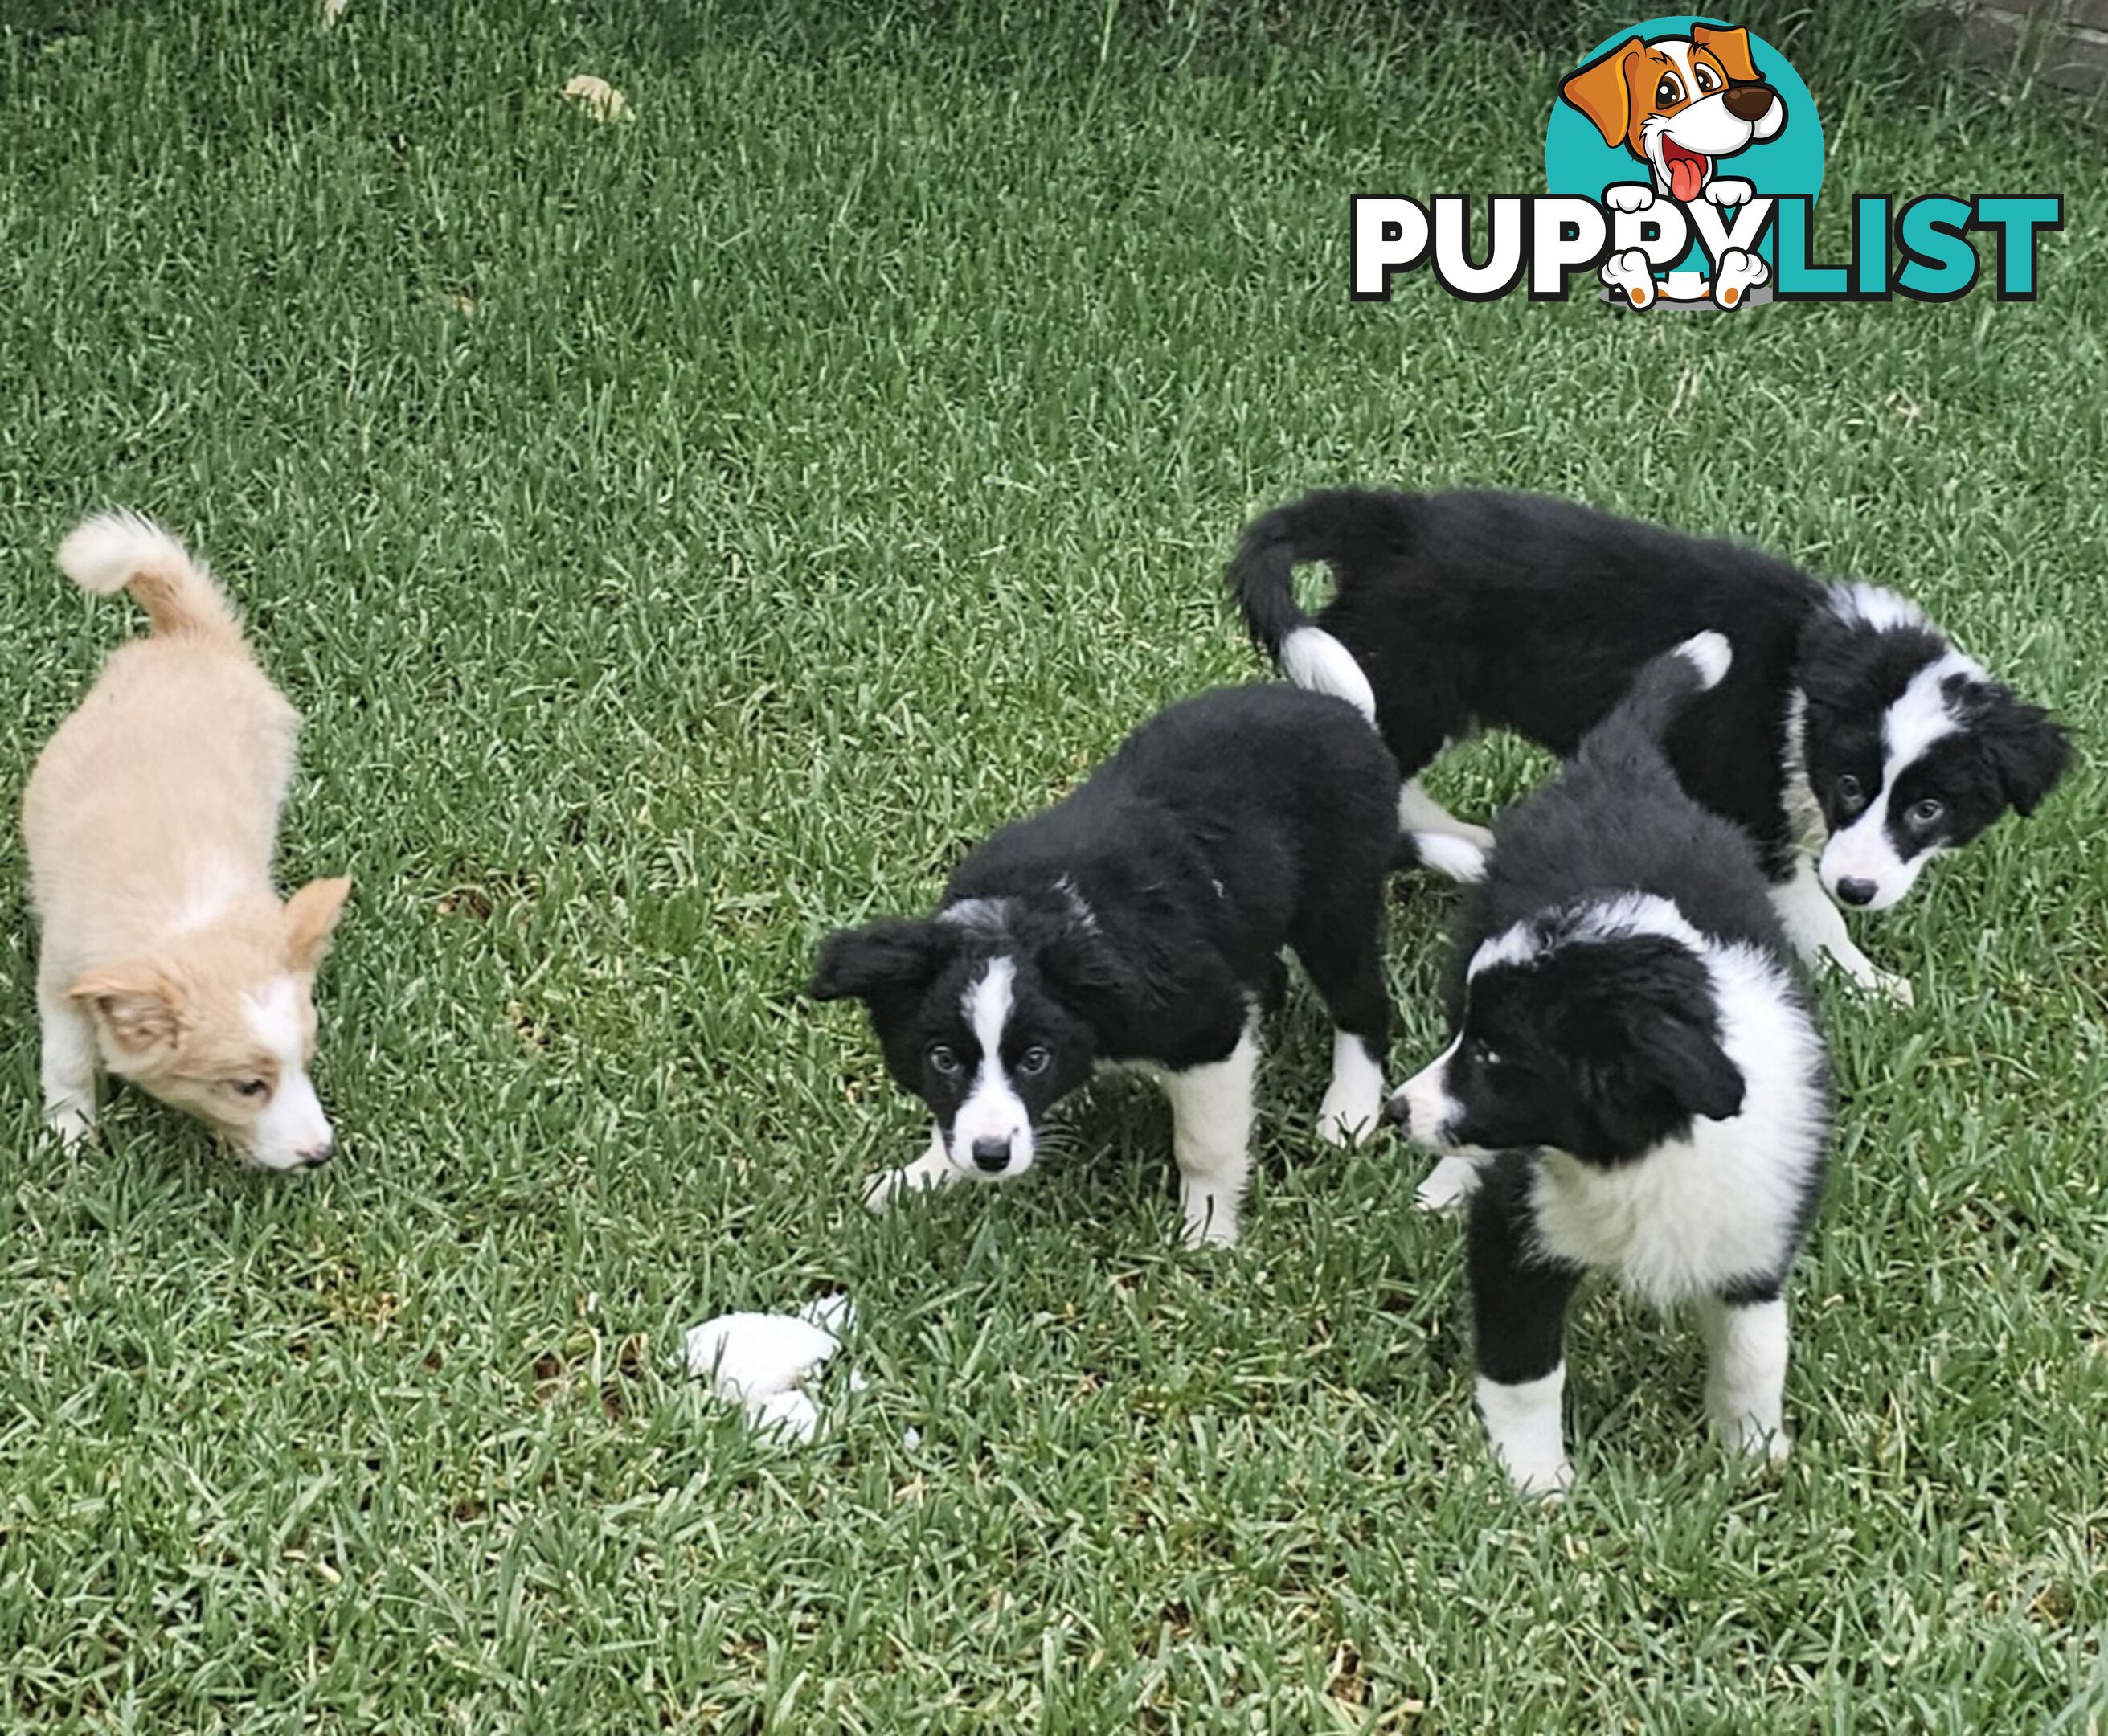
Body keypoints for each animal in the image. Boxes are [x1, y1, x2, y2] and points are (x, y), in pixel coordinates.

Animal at [23, 508, 352, 1173]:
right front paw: (70, 1134)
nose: (321, 1154)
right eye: (248, 1085)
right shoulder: (62, 972)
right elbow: (67, 1057)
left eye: (306, 1064)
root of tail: (190, 636)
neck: (186, 914)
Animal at [804, 687, 1399, 1248]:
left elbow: (1203, 1145)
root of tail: (1343, 711)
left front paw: (1206, 1235)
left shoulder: (1205, 1025)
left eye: (1036, 1060)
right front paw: (918, 1180)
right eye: (943, 1059)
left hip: (1337, 900)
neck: (1028, 916)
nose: (992, 1157)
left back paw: (1347, 1112)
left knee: (1362, 1003)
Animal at [1230, 489, 2065, 1004]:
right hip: (1400, 677)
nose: (1858, 890)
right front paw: (1868, 981)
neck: (1824, 672)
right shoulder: (1754, 809)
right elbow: (1808, 912)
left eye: (1928, 810)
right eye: (1852, 787)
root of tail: (1391, 519)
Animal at [1382, 633, 1829, 1501]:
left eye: (1494, 1056)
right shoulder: (1516, 1230)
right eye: (1475, 1043)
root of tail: (1618, 767)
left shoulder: (1755, 1229)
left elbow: (1756, 1351)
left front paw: (1753, 1454)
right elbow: (1525, 1369)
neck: (1635, 1156)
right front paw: (1536, 1482)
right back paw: (1443, 1184)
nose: (1393, 1110)